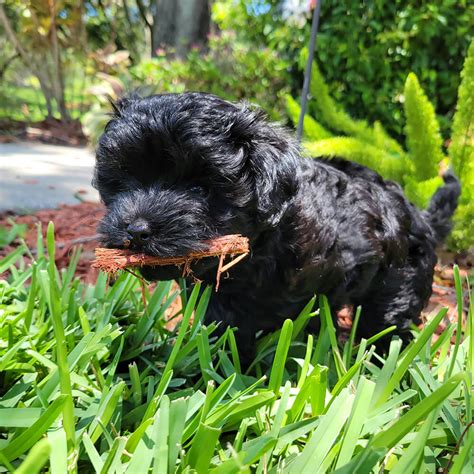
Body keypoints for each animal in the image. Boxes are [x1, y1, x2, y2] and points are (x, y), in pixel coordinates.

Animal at [94, 91, 462, 352]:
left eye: (200, 189)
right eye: (126, 182)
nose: (136, 230)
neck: (263, 238)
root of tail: (420, 216)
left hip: (399, 281)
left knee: (388, 322)